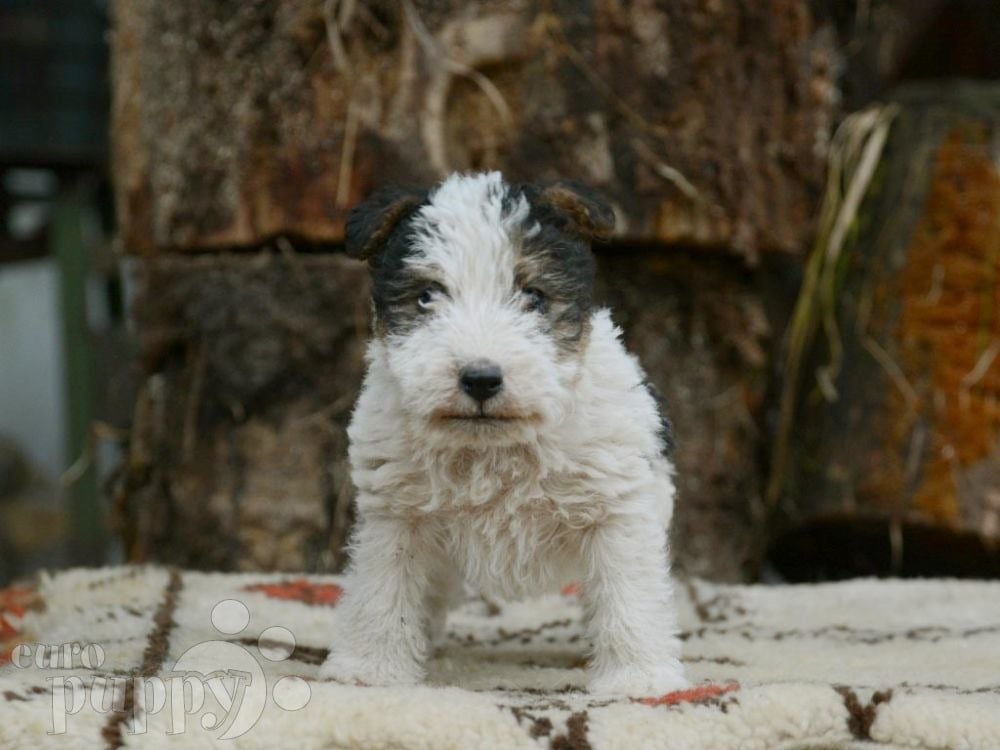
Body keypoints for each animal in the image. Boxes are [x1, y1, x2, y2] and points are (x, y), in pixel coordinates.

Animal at [322, 173, 688, 696]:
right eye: (427, 296)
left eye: (533, 295)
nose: (480, 379)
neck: (493, 448)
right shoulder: (397, 515)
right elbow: (382, 587)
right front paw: (370, 668)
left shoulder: (615, 510)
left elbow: (628, 595)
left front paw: (638, 678)